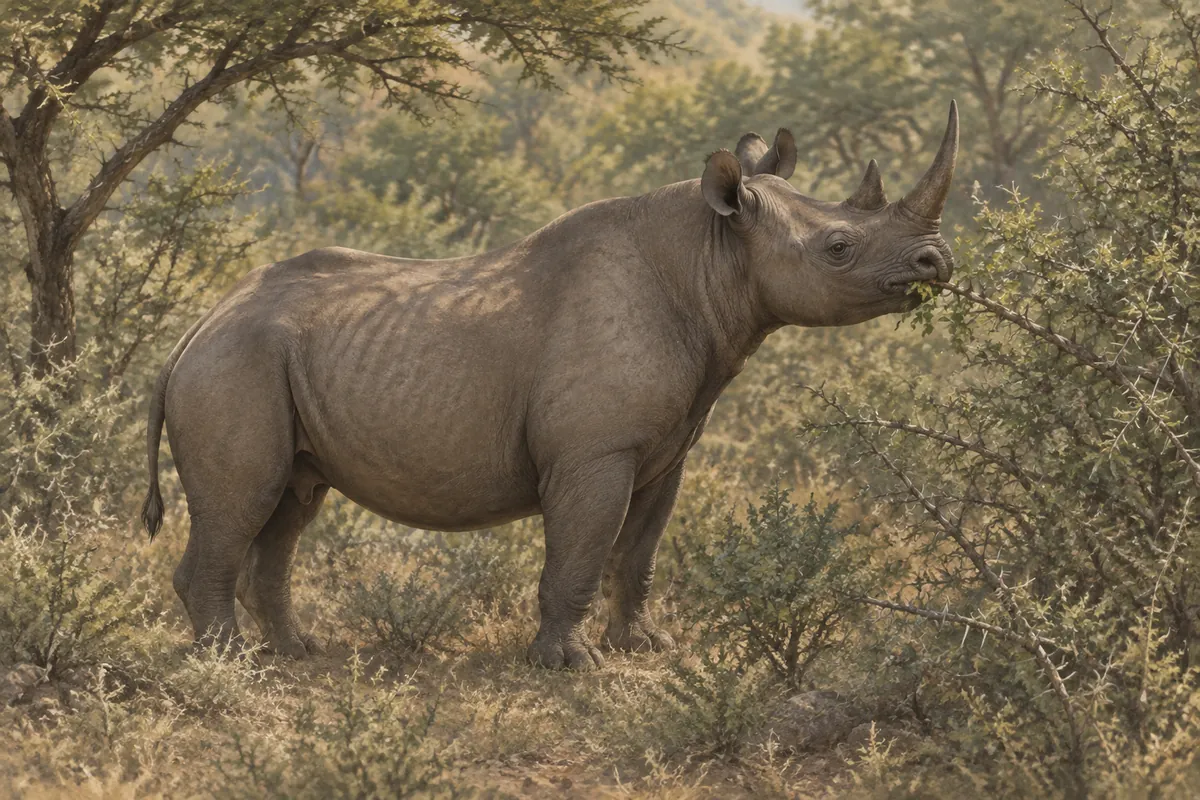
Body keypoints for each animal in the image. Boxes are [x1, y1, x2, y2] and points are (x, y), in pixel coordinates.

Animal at [141, 102, 958, 670]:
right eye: (838, 247)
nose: (937, 263)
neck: (711, 254)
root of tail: (194, 330)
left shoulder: (664, 448)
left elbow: (638, 554)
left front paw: (644, 647)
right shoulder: (596, 450)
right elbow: (581, 551)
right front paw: (568, 664)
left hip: (264, 362)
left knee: (290, 503)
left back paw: (298, 652)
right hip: (233, 366)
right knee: (246, 501)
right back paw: (230, 661)